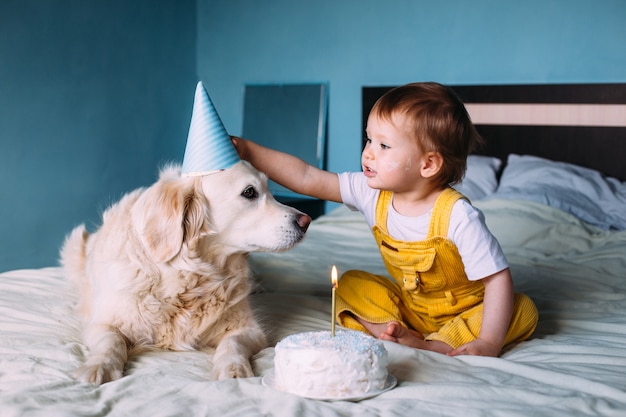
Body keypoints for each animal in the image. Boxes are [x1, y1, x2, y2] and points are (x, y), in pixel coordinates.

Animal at [61, 160, 310, 384]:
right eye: (249, 192)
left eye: (269, 190)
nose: (305, 221)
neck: (188, 275)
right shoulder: (103, 324)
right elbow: (112, 343)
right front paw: (98, 366)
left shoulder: (249, 329)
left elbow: (232, 344)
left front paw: (233, 369)